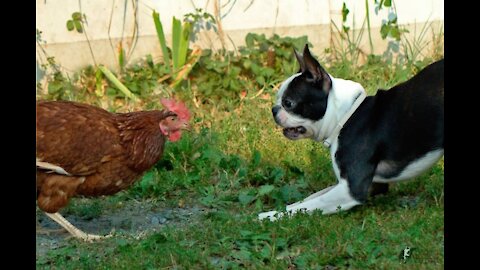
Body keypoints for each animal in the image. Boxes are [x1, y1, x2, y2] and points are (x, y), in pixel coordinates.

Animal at [260, 44, 444, 221]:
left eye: (288, 103)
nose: (273, 109)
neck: (345, 116)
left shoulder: (351, 190)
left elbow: (309, 205)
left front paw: (268, 216)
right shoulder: (366, 184)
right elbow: (307, 199)